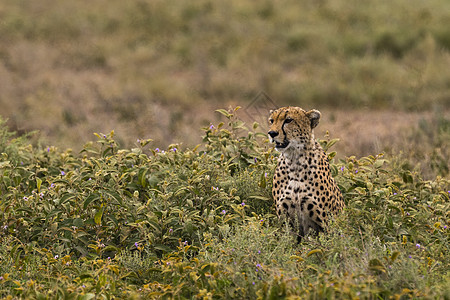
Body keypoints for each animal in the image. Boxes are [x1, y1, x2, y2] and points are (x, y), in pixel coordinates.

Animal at [268, 106, 344, 238]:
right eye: (272, 121)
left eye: (288, 120)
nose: (272, 133)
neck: (294, 160)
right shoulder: (286, 222)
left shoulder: (325, 225)